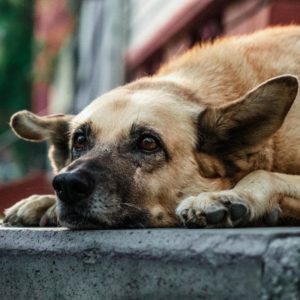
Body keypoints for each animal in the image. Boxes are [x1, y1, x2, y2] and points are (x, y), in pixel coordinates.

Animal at [3, 25, 300, 229]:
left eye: (148, 142)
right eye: (79, 140)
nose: (65, 184)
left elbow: (262, 174)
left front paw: (228, 196)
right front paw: (42, 202)